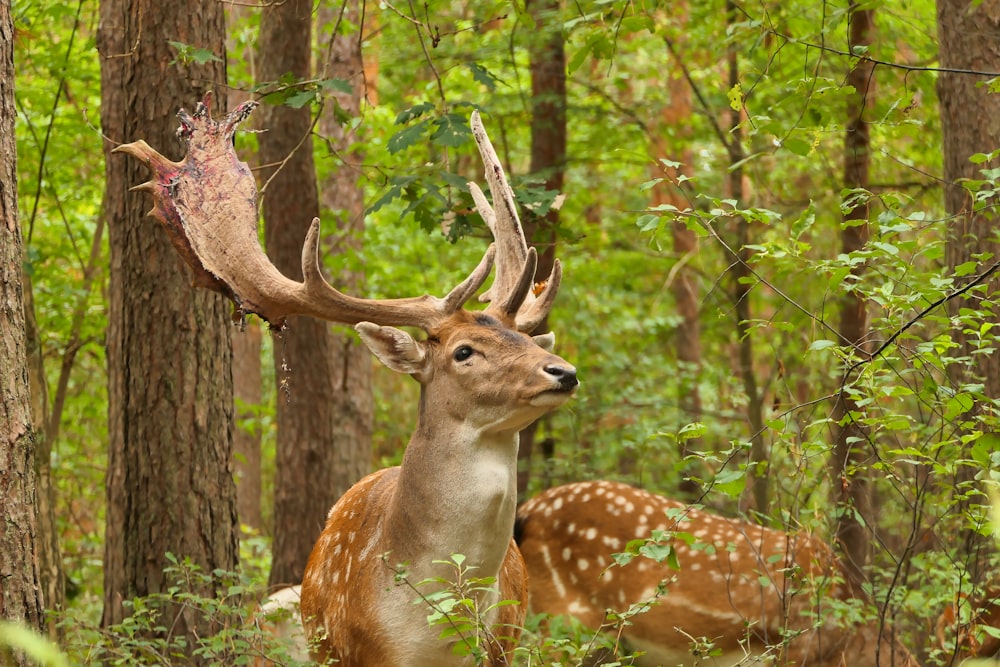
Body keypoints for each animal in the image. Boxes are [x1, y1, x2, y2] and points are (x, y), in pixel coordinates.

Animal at [112, 95, 580, 667]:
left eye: (529, 338)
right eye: (463, 351)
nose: (563, 371)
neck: (434, 631)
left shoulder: (502, 646)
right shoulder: (360, 650)